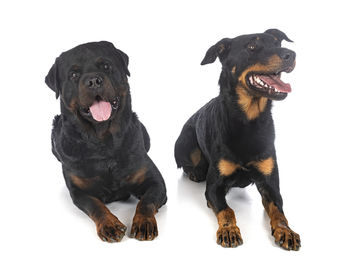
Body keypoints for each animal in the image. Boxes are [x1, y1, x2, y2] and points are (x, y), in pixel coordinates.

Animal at [45, 40, 167, 242]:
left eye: (106, 66)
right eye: (73, 74)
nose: (93, 80)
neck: (103, 141)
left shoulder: (154, 180)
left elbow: (146, 201)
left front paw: (144, 222)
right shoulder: (79, 191)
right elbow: (95, 206)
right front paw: (109, 225)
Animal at [175, 29, 300, 249]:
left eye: (277, 42)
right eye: (252, 46)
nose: (290, 54)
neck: (248, 122)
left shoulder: (270, 184)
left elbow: (279, 212)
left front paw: (286, 231)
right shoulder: (214, 187)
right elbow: (227, 210)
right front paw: (229, 230)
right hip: (185, 143)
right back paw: (195, 172)